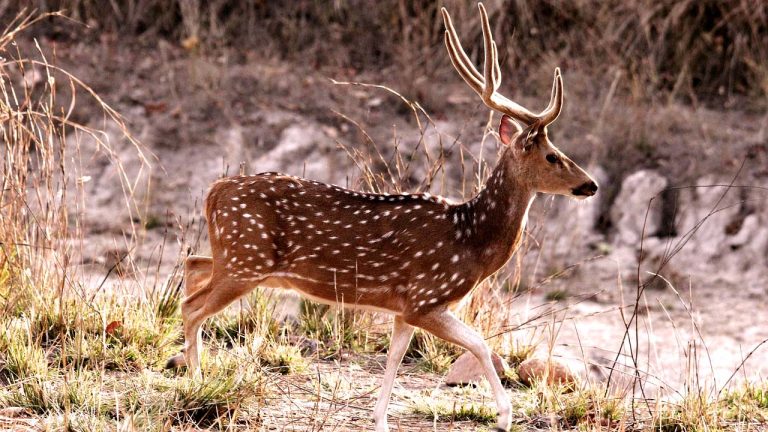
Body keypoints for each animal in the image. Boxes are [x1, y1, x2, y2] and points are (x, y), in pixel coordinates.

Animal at [165, 3, 597, 431]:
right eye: (552, 156)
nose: (590, 185)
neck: (471, 241)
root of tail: (214, 190)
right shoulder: (427, 297)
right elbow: (479, 343)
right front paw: (504, 417)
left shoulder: (405, 309)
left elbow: (394, 356)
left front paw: (380, 419)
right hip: (246, 260)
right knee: (191, 306)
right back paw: (198, 383)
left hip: (235, 256)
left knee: (192, 264)